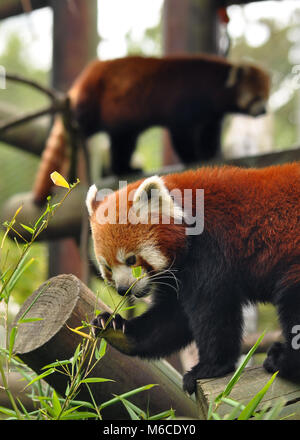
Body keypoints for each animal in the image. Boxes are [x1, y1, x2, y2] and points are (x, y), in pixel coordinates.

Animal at [32, 55, 270, 205]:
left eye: (266, 96)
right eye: (257, 97)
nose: (264, 110)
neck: (214, 82)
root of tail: (87, 75)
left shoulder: (212, 113)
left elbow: (208, 133)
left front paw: (210, 154)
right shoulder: (184, 101)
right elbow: (181, 134)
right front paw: (192, 158)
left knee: (123, 142)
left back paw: (126, 167)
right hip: (96, 103)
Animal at [86, 162, 300, 396]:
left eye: (131, 259)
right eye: (107, 267)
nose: (123, 289)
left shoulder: (211, 251)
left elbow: (212, 310)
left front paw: (209, 368)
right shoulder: (180, 273)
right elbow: (172, 318)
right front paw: (117, 329)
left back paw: (284, 361)